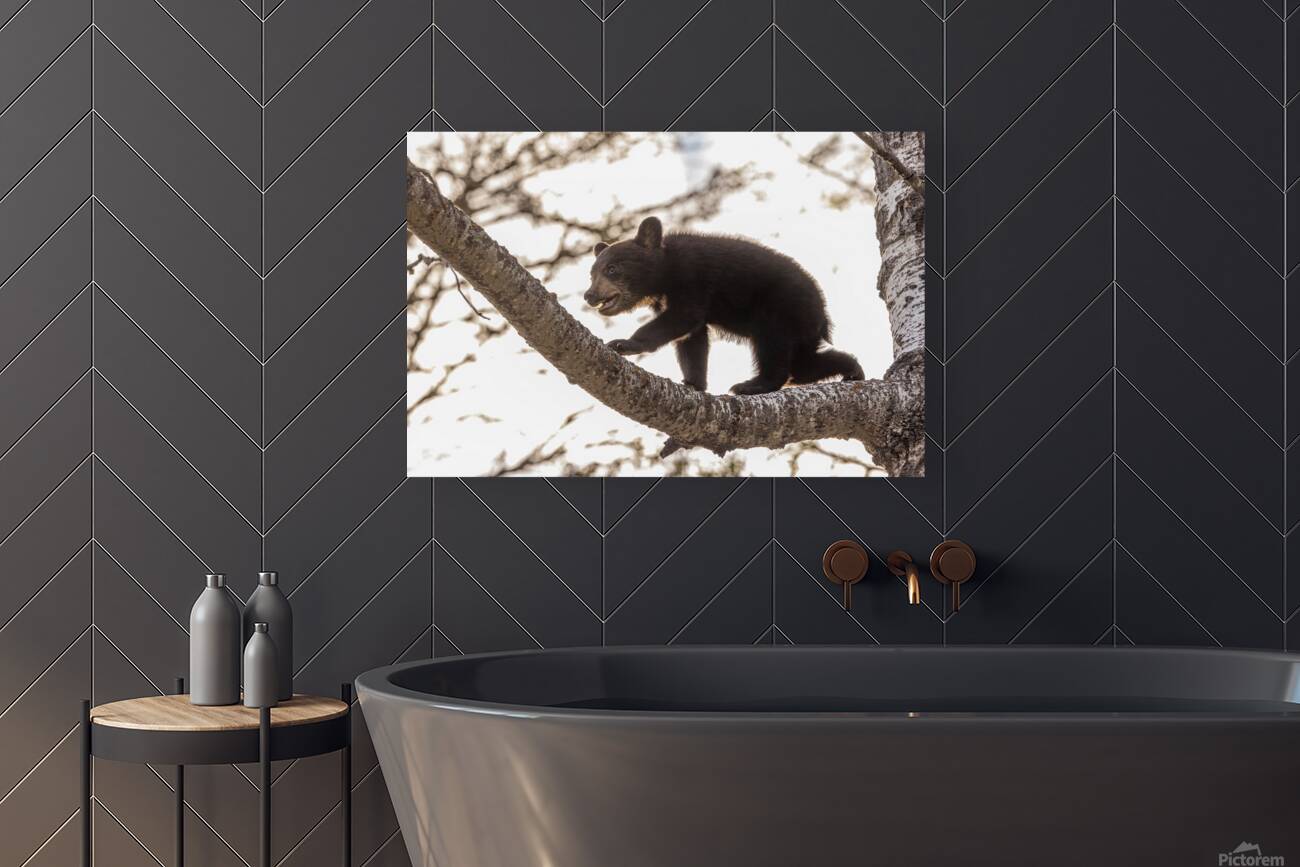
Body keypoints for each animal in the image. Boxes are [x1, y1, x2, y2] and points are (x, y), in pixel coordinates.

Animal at [584, 216, 865, 395]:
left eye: (612, 269)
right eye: (591, 273)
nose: (589, 295)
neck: (664, 274)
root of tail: (823, 313)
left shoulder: (691, 277)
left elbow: (683, 317)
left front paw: (623, 344)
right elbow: (692, 338)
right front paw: (693, 383)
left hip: (781, 309)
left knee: (773, 348)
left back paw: (752, 386)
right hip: (801, 329)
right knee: (804, 365)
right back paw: (853, 370)